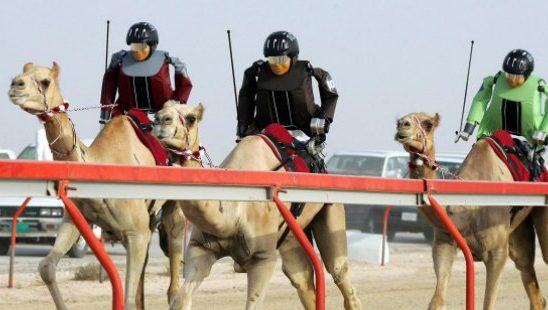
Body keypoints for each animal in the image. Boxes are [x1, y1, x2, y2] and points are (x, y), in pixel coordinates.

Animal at [8, 61, 161, 308]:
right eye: (21, 74)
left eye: (45, 81)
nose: (15, 85)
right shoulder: (75, 219)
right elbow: (46, 267)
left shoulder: (137, 231)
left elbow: (127, 297)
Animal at [151, 104, 360, 310]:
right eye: (163, 108)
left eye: (191, 118)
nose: (160, 120)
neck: (233, 212)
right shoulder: (201, 248)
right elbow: (181, 300)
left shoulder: (263, 258)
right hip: (290, 235)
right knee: (301, 277)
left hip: (332, 209)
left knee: (339, 270)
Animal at [396, 111, 544, 310]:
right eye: (400, 120)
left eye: (428, 124)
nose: (402, 125)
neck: (469, 211)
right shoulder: (444, 243)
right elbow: (437, 301)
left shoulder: (497, 251)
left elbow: (488, 304)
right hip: (518, 228)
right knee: (526, 267)